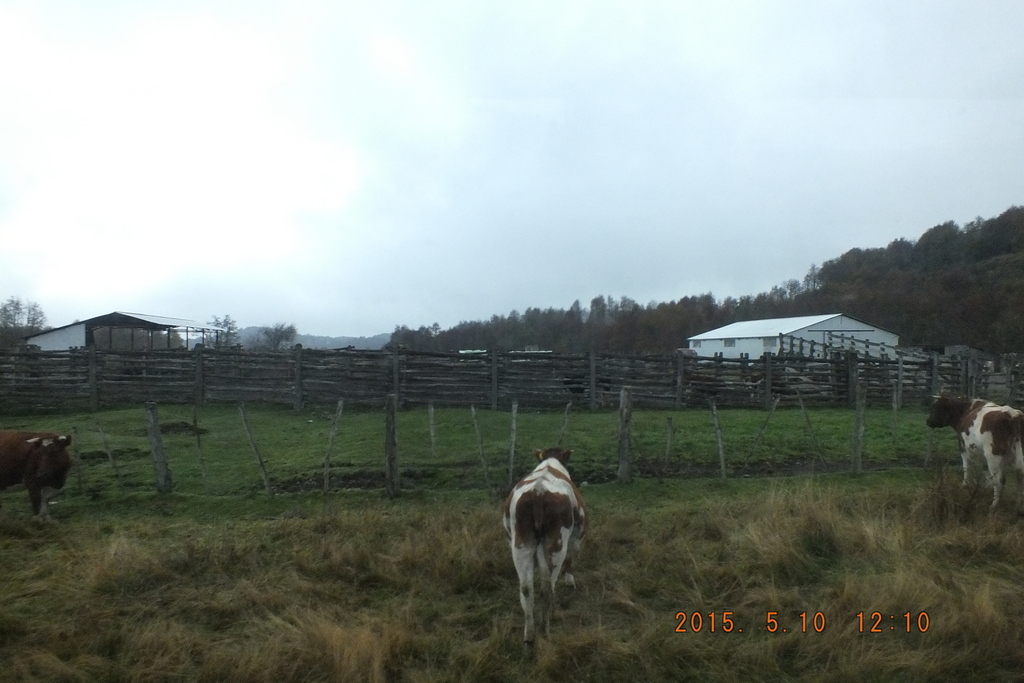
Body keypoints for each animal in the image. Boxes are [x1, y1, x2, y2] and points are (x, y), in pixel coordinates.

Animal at [501, 448, 585, 647]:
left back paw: (529, 635)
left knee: (526, 589)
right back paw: (545, 629)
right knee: (547, 589)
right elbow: (571, 560)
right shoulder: (577, 538)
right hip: (556, 544)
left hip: (521, 544)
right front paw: (570, 582)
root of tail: (538, 491)